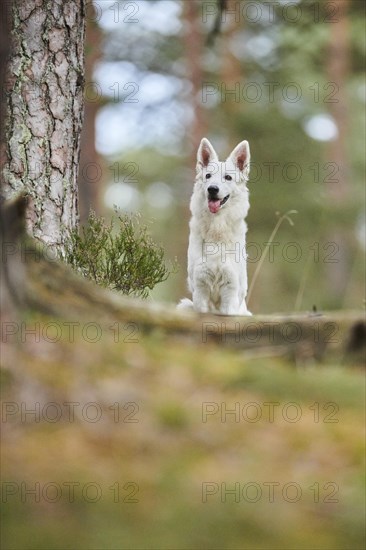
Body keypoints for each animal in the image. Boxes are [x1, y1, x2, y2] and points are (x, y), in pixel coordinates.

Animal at [178, 138, 252, 316]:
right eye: (208, 176)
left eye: (228, 177)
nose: (212, 189)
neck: (216, 228)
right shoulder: (200, 289)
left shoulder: (230, 290)